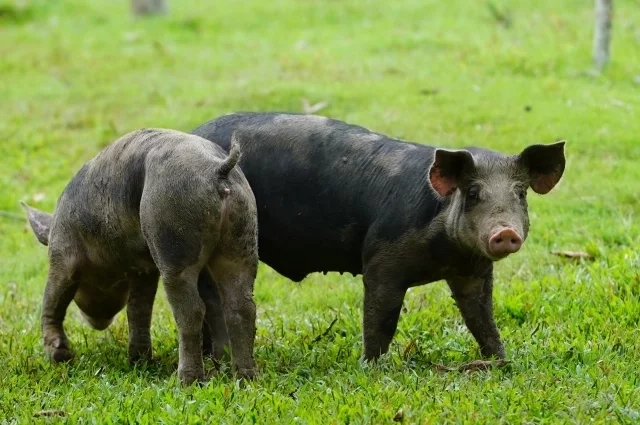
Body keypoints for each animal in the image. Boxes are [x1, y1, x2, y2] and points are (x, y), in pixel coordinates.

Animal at [22, 127, 258, 382]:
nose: (98, 323)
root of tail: (218, 170)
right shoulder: (143, 268)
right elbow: (138, 308)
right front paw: (139, 362)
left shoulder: (63, 253)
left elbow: (53, 298)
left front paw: (60, 357)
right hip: (242, 237)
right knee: (241, 306)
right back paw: (244, 378)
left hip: (172, 236)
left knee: (192, 309)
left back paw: (187, 381)